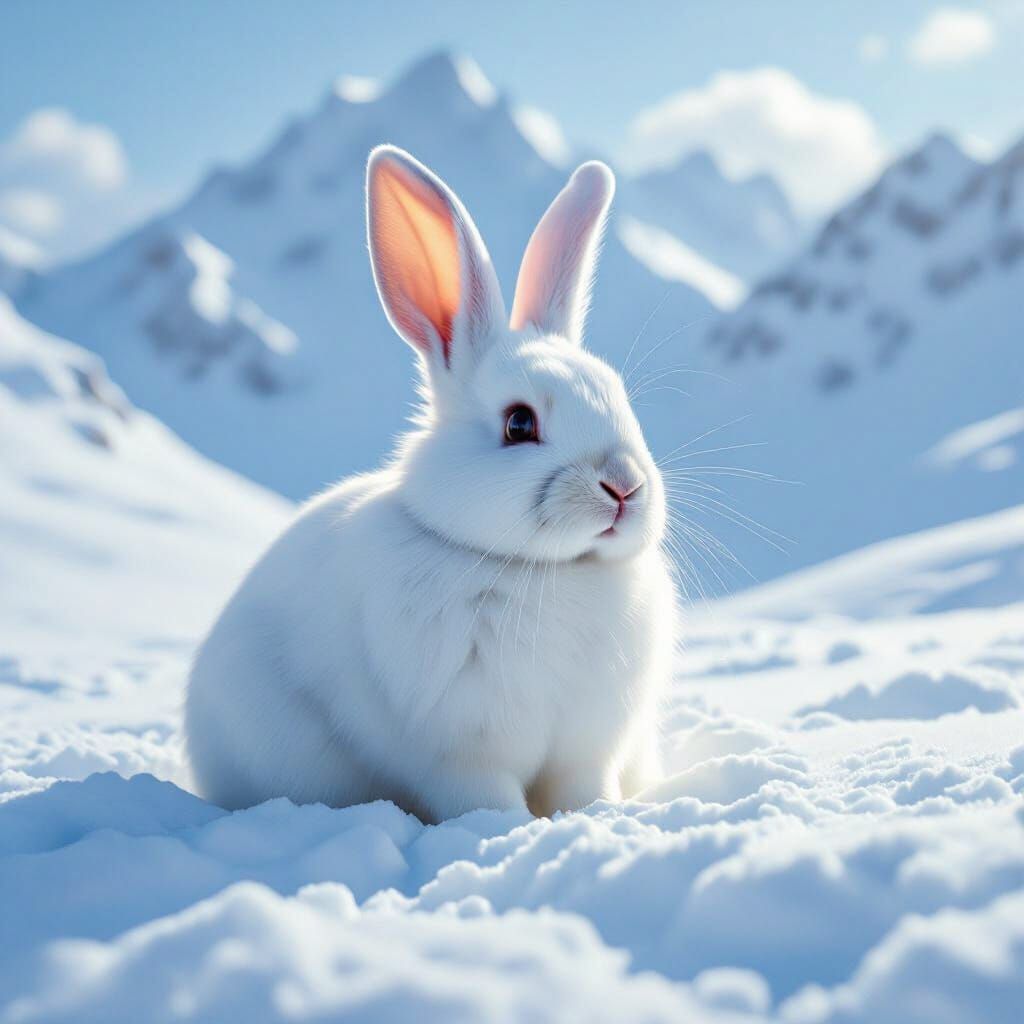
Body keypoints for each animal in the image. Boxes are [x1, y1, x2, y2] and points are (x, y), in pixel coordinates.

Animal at [185, 145, 677, 823]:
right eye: (519, 423)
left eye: (620, 399)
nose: (624, 487)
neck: (549, 571)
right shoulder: (460, 753)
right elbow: (483, 797)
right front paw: (508, 830)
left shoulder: (588, 748)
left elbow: (584, 788)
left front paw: (600, 818)